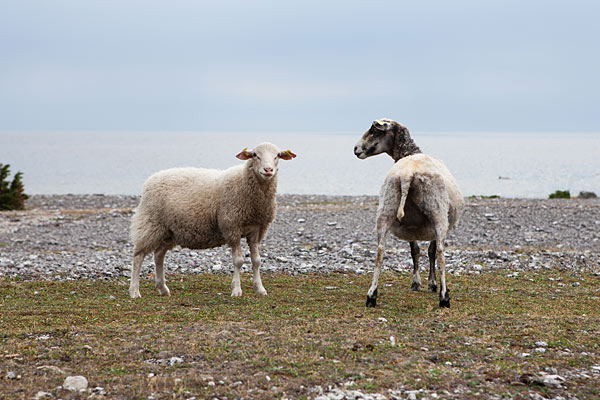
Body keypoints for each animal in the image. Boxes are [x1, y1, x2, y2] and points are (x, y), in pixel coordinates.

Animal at [128, 142, 296, 298]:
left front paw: (260, 289)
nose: (268, 170)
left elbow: (256, 260)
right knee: (138, 256)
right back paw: (135, 291)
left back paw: (163, 288)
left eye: (277, 155)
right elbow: (238, 261)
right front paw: (236, 290)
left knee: (158, 256)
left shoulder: (256, 230)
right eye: (255, 155)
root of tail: (151, 179)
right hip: (150, 223)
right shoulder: (232, 227)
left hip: (169, 231)